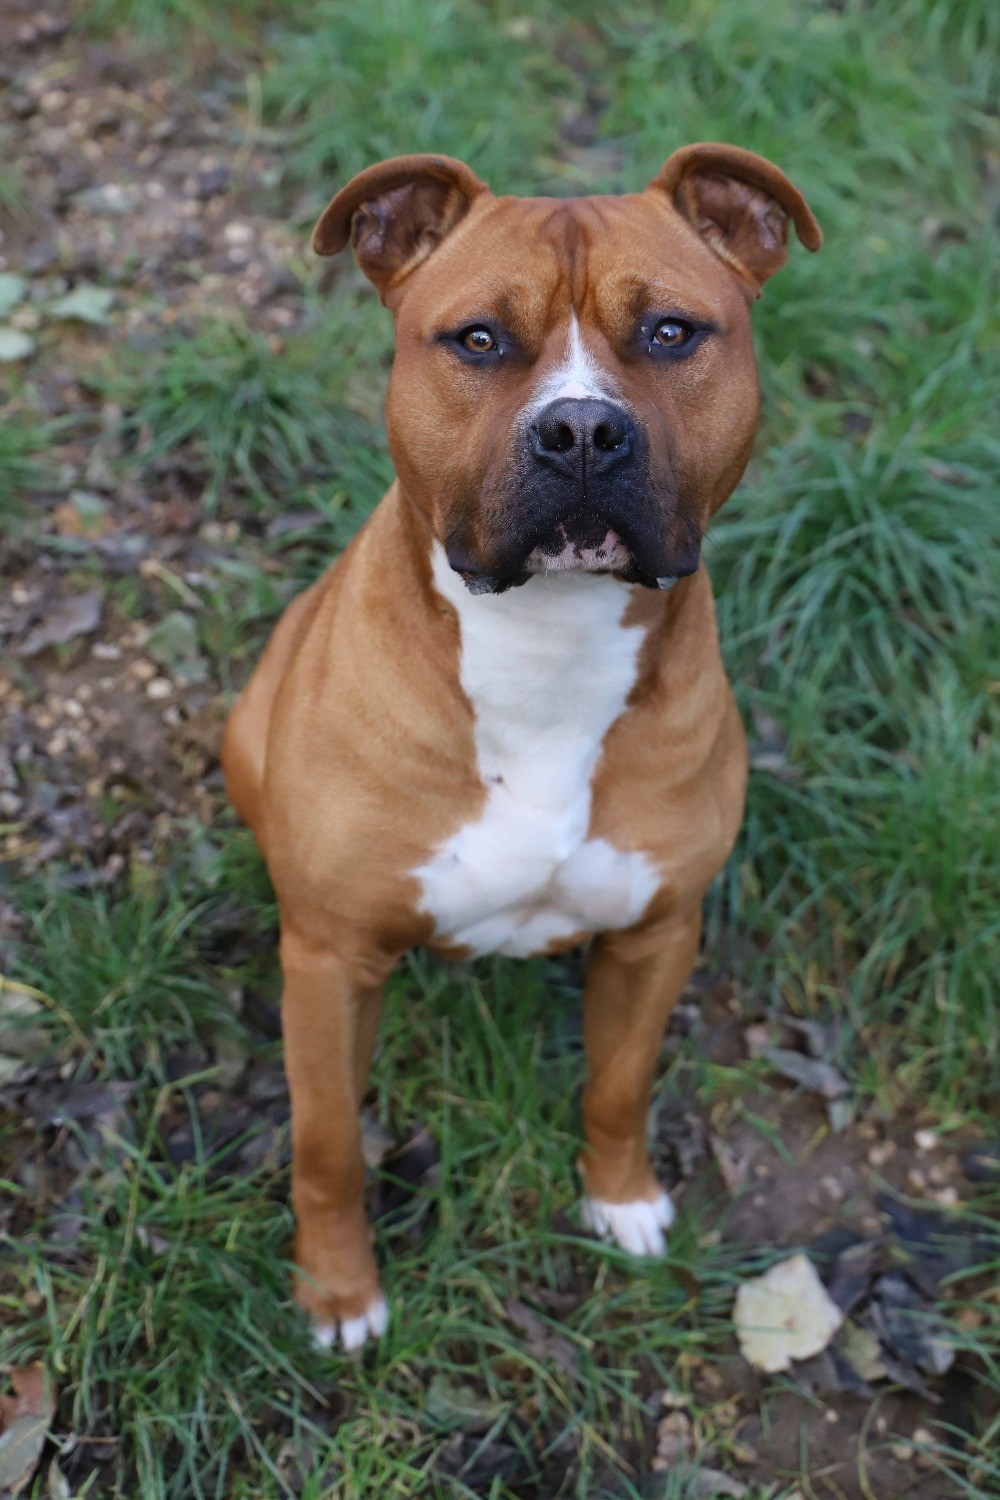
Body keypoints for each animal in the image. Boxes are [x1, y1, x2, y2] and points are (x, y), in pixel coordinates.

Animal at [224, 146, 821, 1356]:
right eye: (479, 340)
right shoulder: (329, 961)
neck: (548, 643)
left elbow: (619, 1086)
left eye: (672, 334)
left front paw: (622, 1197)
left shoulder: (655, 934)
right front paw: (339, 1293)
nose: (583, 431)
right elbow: (327, 1144)